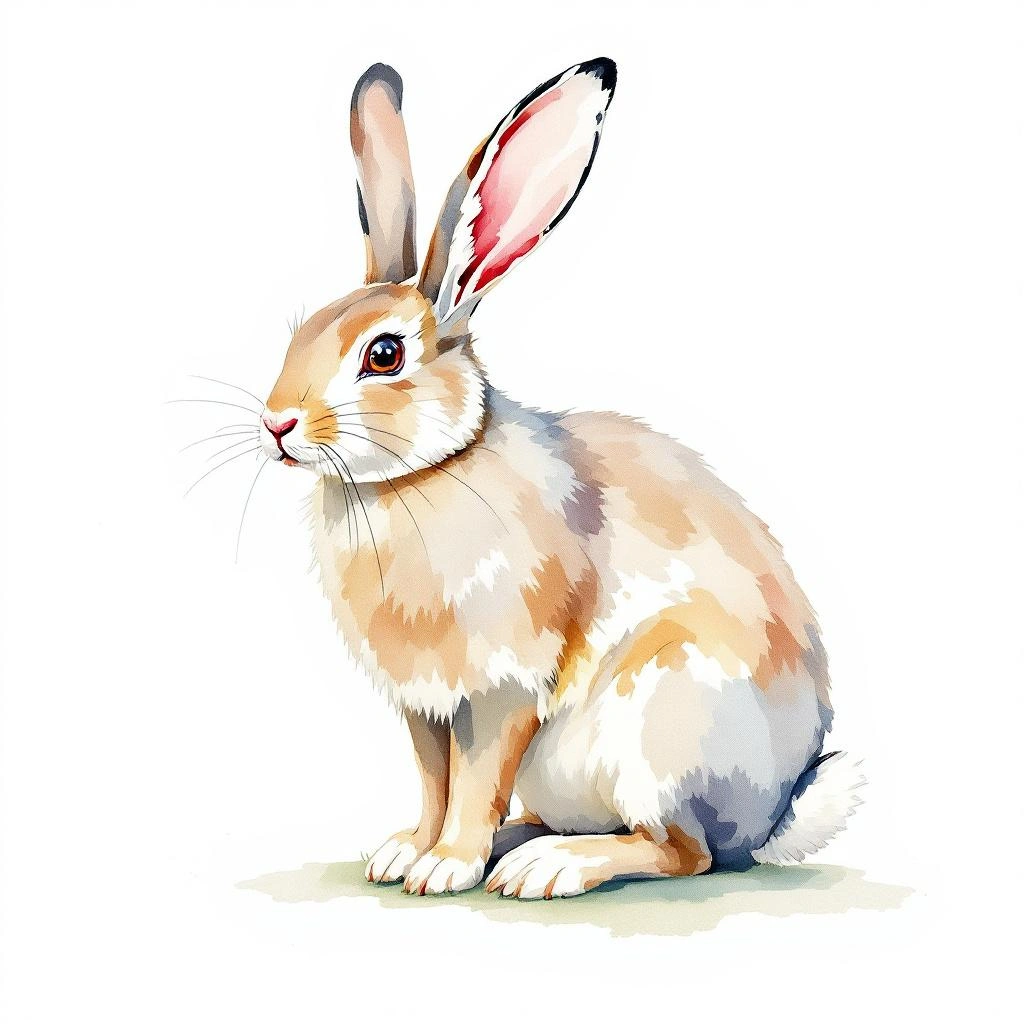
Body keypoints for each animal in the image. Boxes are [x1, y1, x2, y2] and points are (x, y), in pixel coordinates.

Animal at [255, 58, 863, 899]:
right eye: (300, 334)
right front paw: (406, 854)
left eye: (383, 355)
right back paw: (521, 845)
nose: (276, 424)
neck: (423, 474)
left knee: (684, 851)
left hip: (663, 718)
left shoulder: (504, 685)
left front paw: (447, 866)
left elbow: (475, 777)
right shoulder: (423, 705)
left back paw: (548, 867)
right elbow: (435, 779)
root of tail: (773, 815)